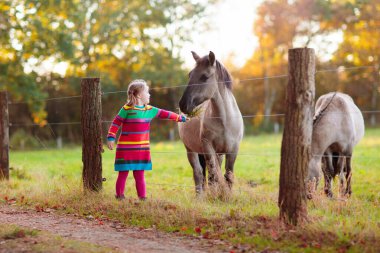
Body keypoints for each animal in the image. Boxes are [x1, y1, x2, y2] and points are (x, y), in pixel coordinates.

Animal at [178, 51, 243, 194]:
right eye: (189, 75)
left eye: (204, 77)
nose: (183, 104)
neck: (225, 121)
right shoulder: (208, 148)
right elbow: (214, 177)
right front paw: (215, 196)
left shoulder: (233, 151)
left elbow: (228, 177)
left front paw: (226, 196)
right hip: (191, 150)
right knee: (198, 174)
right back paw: (200, 197)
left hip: (219, 154)